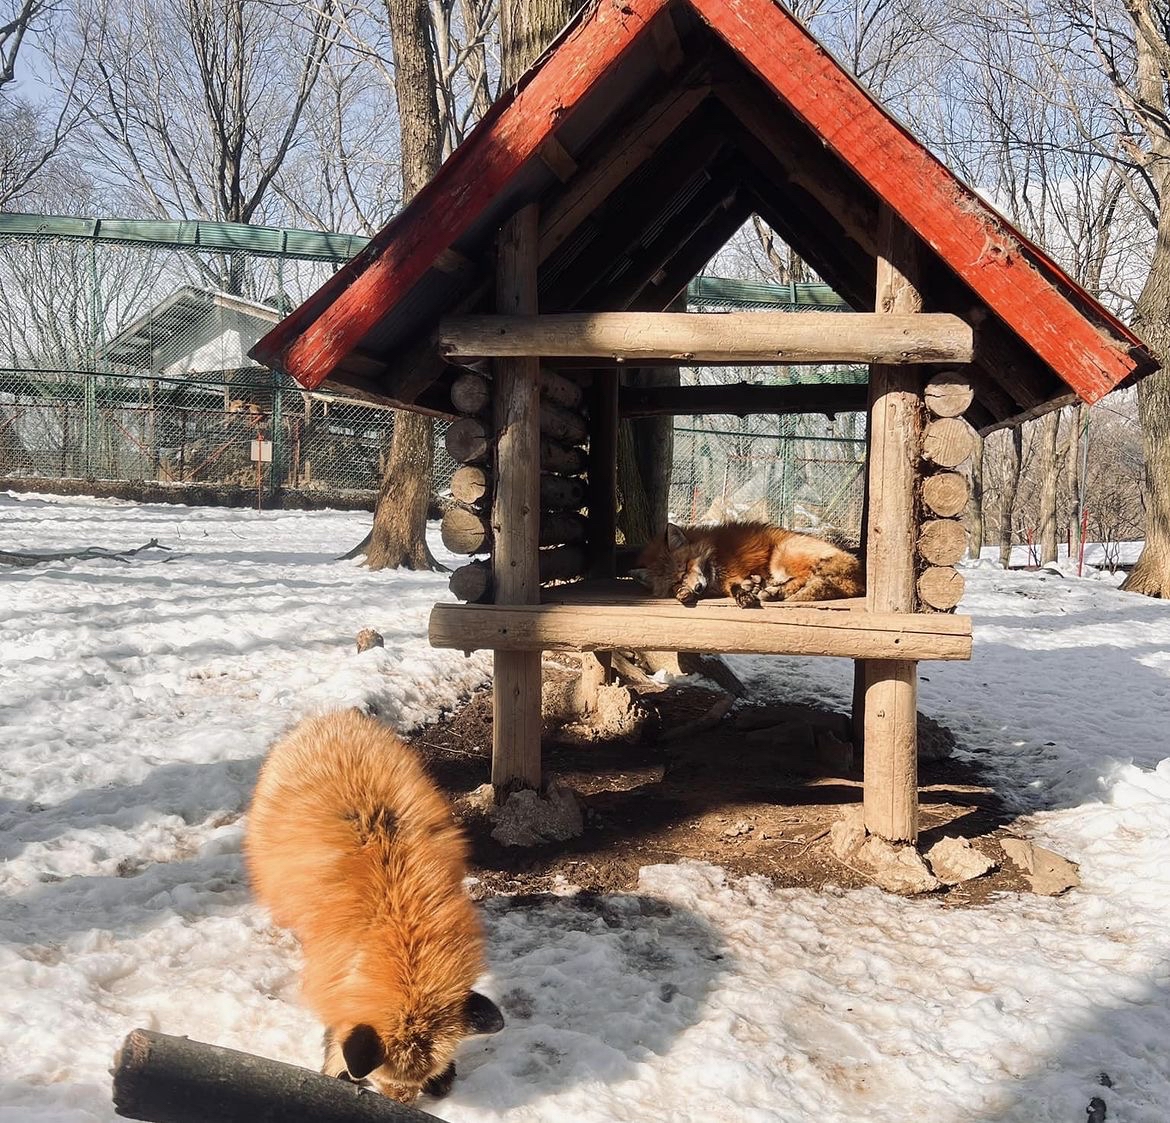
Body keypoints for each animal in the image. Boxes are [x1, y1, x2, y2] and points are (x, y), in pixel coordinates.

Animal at [244, 711, 500, 1104]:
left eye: (421, 1078)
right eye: (382, 1079)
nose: (402, 1105)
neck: (397, 916)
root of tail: (330, 716)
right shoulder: (334, 966)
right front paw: (334, 1072)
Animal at [631, 524, 870, 608]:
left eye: (687, 567)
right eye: (677, 580)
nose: (698, 587)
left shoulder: (734, 571)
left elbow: (734, 586)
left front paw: (744, 595)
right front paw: (684, 593)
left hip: (781, 556)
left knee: (807, 578)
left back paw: (773, 591)